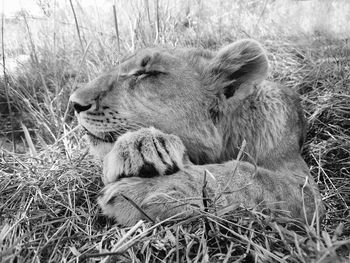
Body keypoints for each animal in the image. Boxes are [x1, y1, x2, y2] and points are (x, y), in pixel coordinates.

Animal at [69, 39, 324, 227]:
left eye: (147, 73)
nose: (74, 103)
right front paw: (139, 146)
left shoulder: (306, 192)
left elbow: (248, 176)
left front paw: (148, 192)